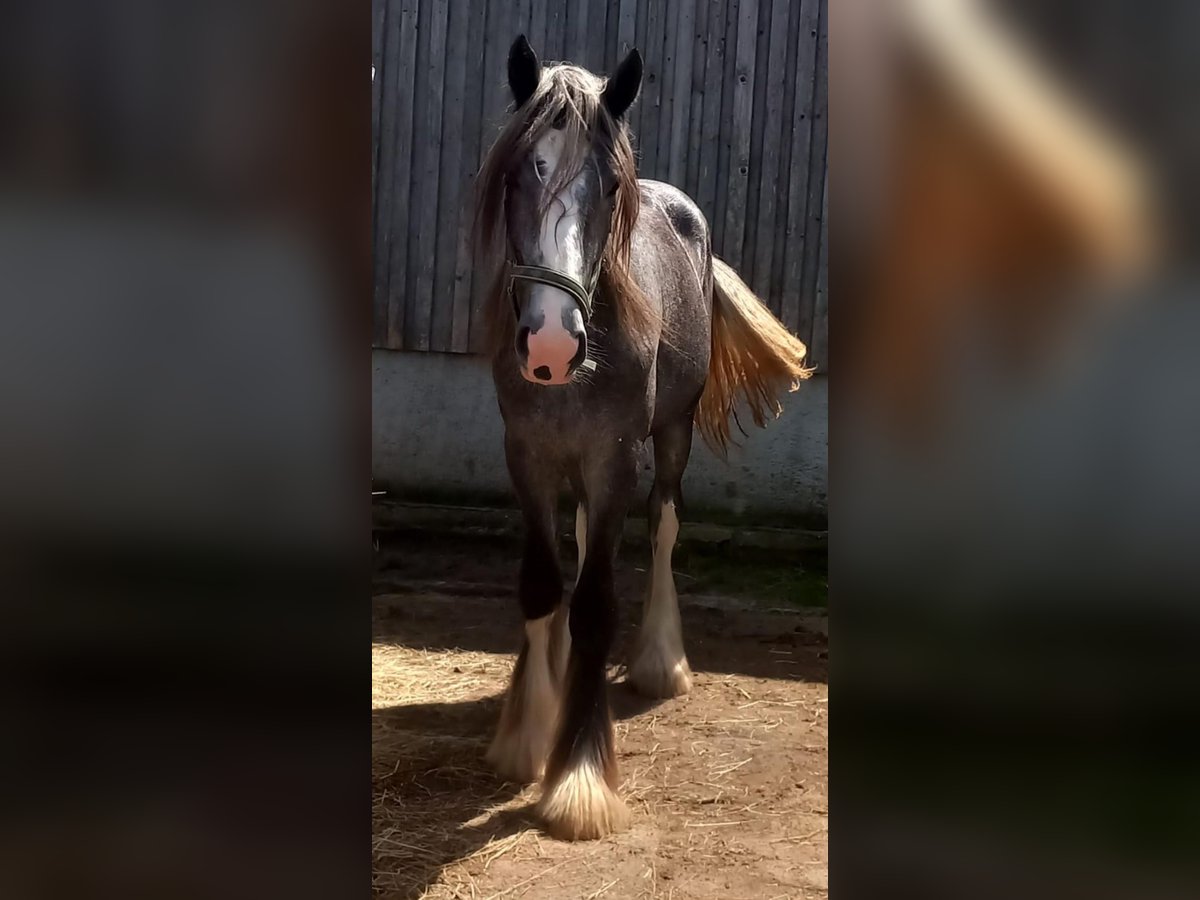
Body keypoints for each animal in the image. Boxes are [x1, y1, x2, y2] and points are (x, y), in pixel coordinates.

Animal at [472, 33, 811, 840]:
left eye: (607, 191)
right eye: (518, 177)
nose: (552, 345)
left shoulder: (616, 457)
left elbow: (598, 602)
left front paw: (578, 780)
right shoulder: (528, 454)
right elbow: (543, 585)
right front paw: (529, 733)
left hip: (671, 437)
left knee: (662, 525)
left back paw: (662, 660)